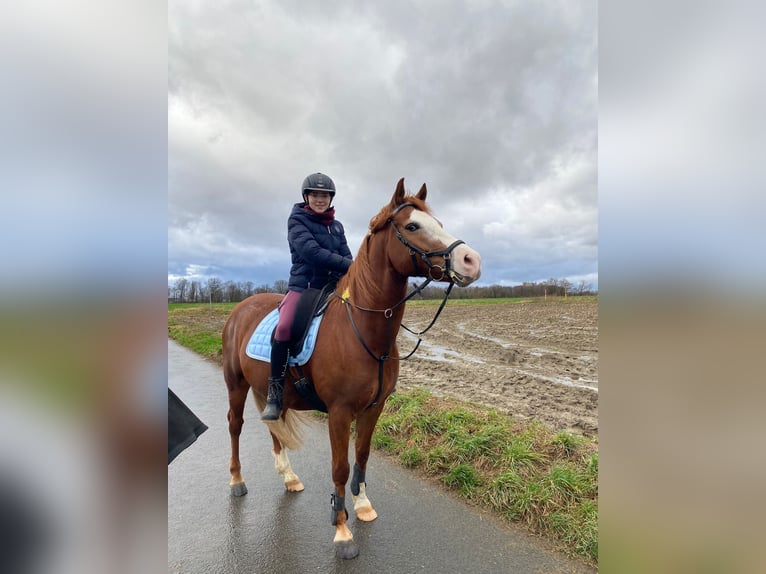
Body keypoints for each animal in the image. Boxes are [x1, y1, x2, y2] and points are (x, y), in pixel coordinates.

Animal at [221, 178, 482, 559]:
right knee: (235, 426)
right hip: (236, 385)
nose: (471, 260)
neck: (362, 329)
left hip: (272, 395)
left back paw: (289, 477)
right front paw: (342, 530)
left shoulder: (374, 407)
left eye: (440, 224)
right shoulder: (340, 412)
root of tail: (241, 308)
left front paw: (362, 505)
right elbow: (341, 467)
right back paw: (237, 481)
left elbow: (362, 455)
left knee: (274, 427)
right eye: (412, 227)